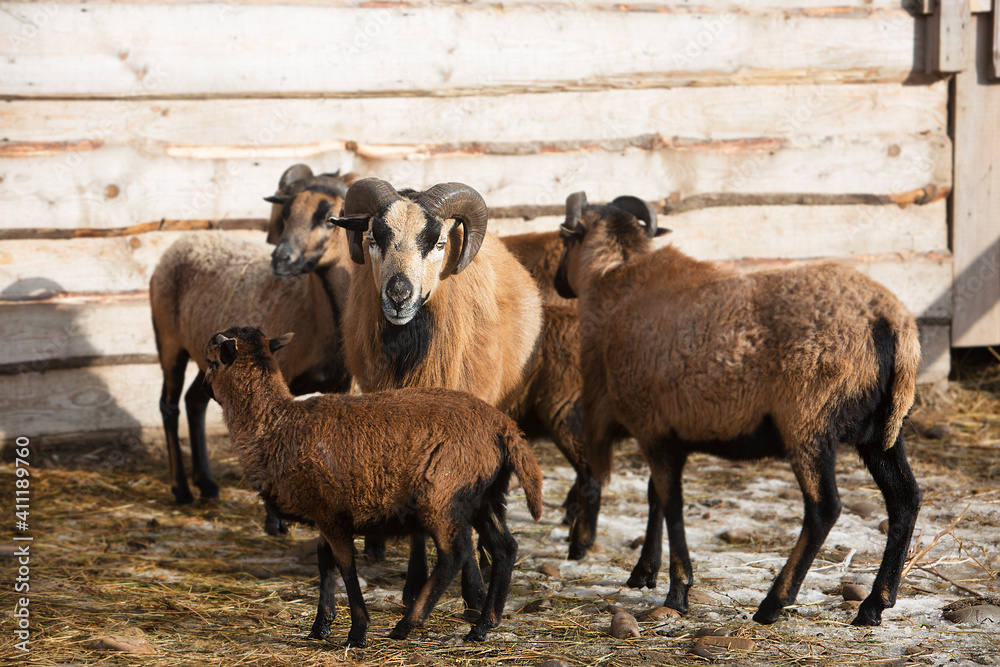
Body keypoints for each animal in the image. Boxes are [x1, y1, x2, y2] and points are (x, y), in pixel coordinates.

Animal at [149, 168, 352, 535]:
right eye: (286, 214)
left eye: (329, 218)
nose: (281, 258)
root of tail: (183, 241)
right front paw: (274, 521)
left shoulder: (341, 385)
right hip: (169, 341)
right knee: (169, 406)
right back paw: (182, 489)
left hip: (210, 357)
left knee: (194, 400)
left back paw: (208, 485)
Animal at [202, 326, 544, 647]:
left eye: (210, 361)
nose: (204, 389)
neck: (277, 426)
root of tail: (504, 427)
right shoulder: (327, 511)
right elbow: (324, 561)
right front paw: (321, 626)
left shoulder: (331, 515)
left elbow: (345, 566)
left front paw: (357, 631)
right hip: (485, 496)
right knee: (505, 547)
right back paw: (483, 626)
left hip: (443, 496)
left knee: (454, 554)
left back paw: (409, 623)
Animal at [554, 191, 922, 627]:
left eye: (564, 238)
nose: (558, 282)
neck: (616, 285)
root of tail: (887, 320)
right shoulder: (669, 434)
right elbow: (655, 497)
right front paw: (644, 571)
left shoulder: (654, 431)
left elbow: (672, 505)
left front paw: (677, 592)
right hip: (881, 429)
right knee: (905, 499)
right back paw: (874, 604)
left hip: (807, 421)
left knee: (824, 508)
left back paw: (774, 602)